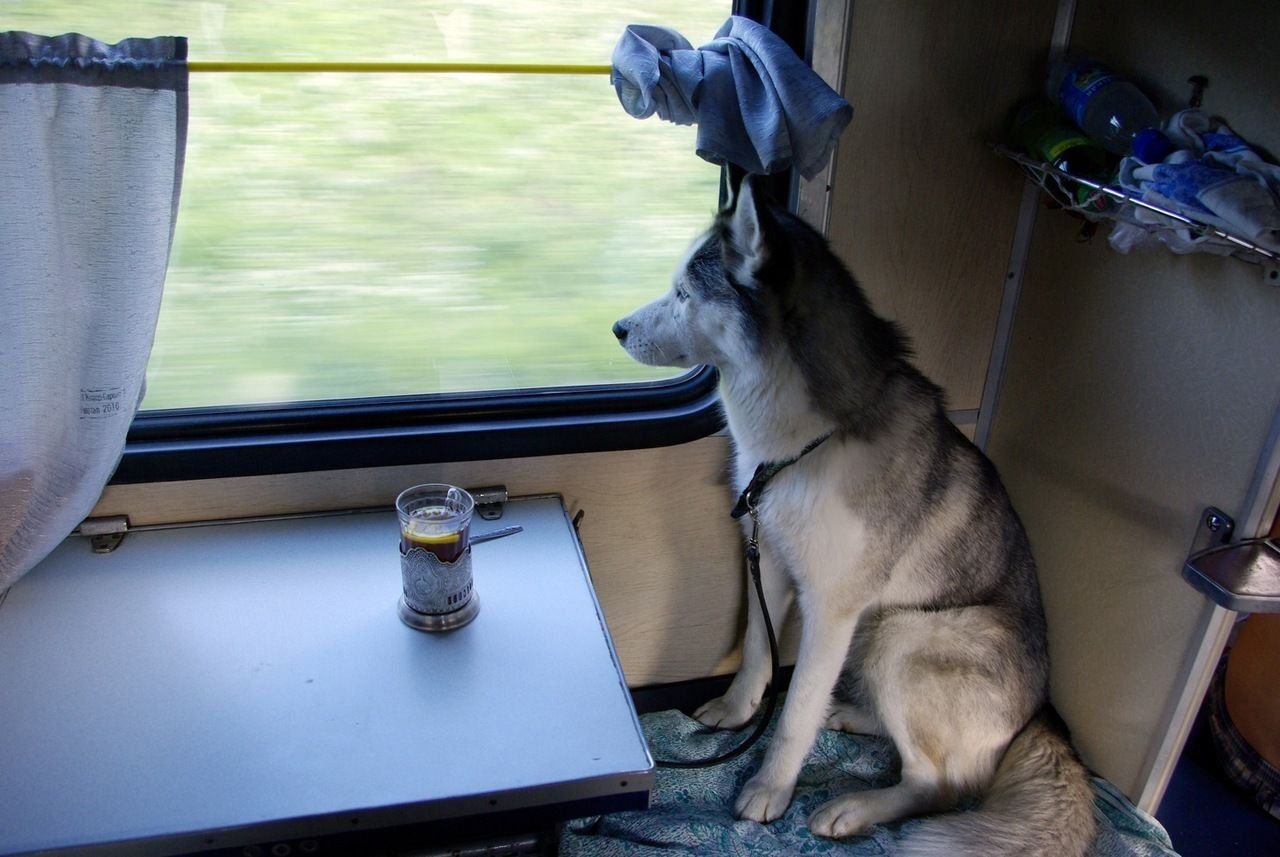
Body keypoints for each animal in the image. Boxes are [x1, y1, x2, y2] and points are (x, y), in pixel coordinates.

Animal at [614, 177, 1095, 854]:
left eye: (684, 292)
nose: (617, 328)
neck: (801, 445)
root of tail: (1044, 713)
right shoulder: (771, 562)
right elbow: (758, 651)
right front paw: (736, 713)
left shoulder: (831, 609)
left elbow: (794, 712)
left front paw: (770, 789)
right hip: (878, 631)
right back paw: (851, 715)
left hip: (903, 635)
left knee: (940, 784)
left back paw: (855, 808)